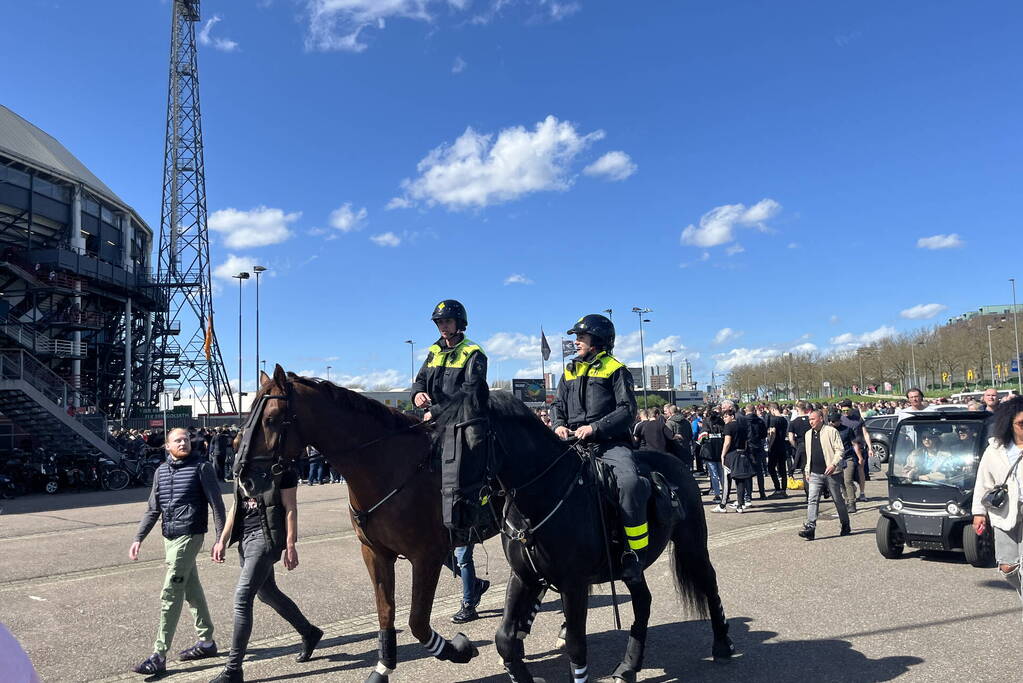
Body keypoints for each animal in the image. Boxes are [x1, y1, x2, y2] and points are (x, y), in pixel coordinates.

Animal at [243, 368, 478, 683]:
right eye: (248, 415)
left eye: (270, 419)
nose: (243, 477)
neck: (390, 466)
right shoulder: (375, 553)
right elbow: (386, 613)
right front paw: (383, 667)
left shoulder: (426, 555)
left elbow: (417, 621)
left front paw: (458, 648)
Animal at [433, 388, 736, 683]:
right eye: (437, 443)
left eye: (475, 439)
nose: (453, 513)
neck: (544, 495)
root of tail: (678, 463)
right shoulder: (523, 576)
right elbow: (504, 639)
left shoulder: (574, 584)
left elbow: (576, 646)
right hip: (633, 568)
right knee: (643, 602)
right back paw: (628, 666)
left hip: (691, 545)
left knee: (709, 584)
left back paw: (722, 645)